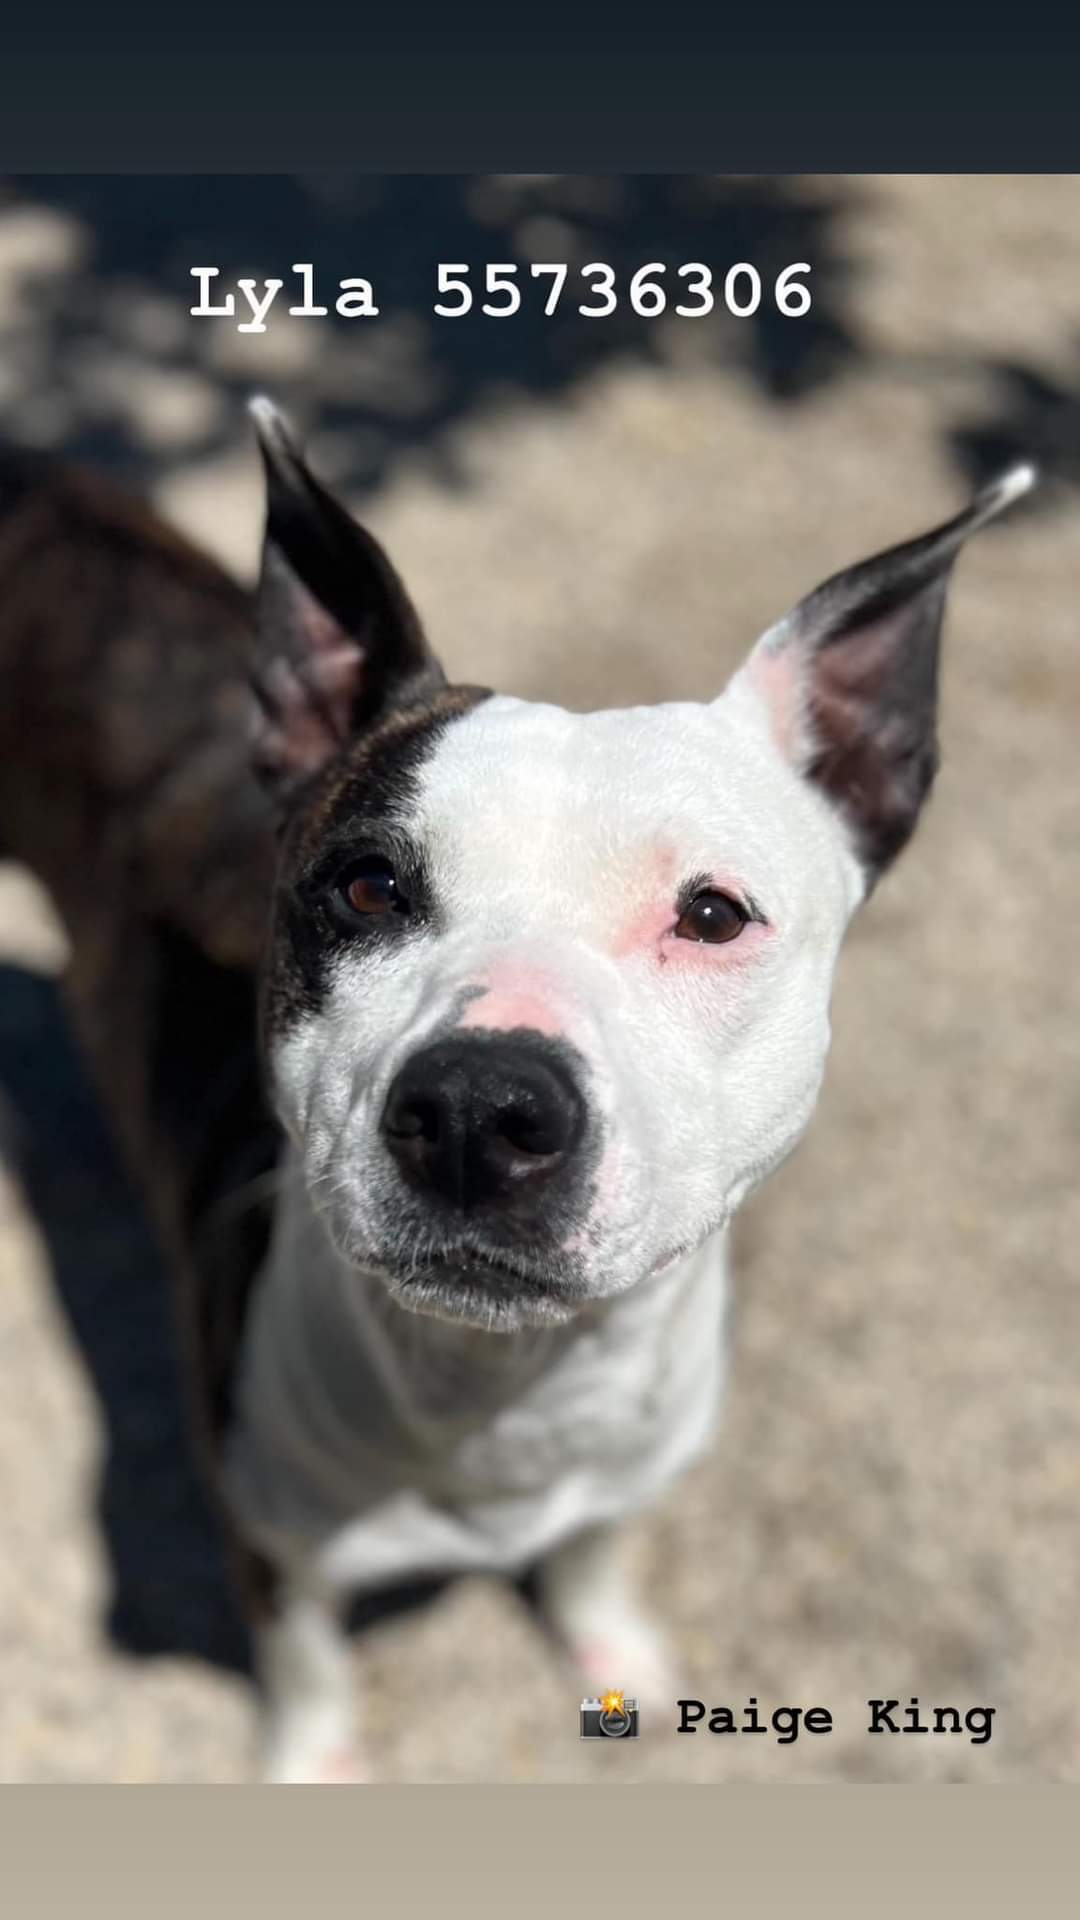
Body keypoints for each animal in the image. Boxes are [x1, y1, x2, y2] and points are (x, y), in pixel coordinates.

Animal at [0, 408, 1022, 1781]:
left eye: (713, 914)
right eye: (367, 886)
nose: (481, 1110)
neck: (504, 1392)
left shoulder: (625, 1474)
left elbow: (593, 1551)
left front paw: (609, 1646)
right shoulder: (262, 1533)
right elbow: (308, 1663)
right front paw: (315, 1763)